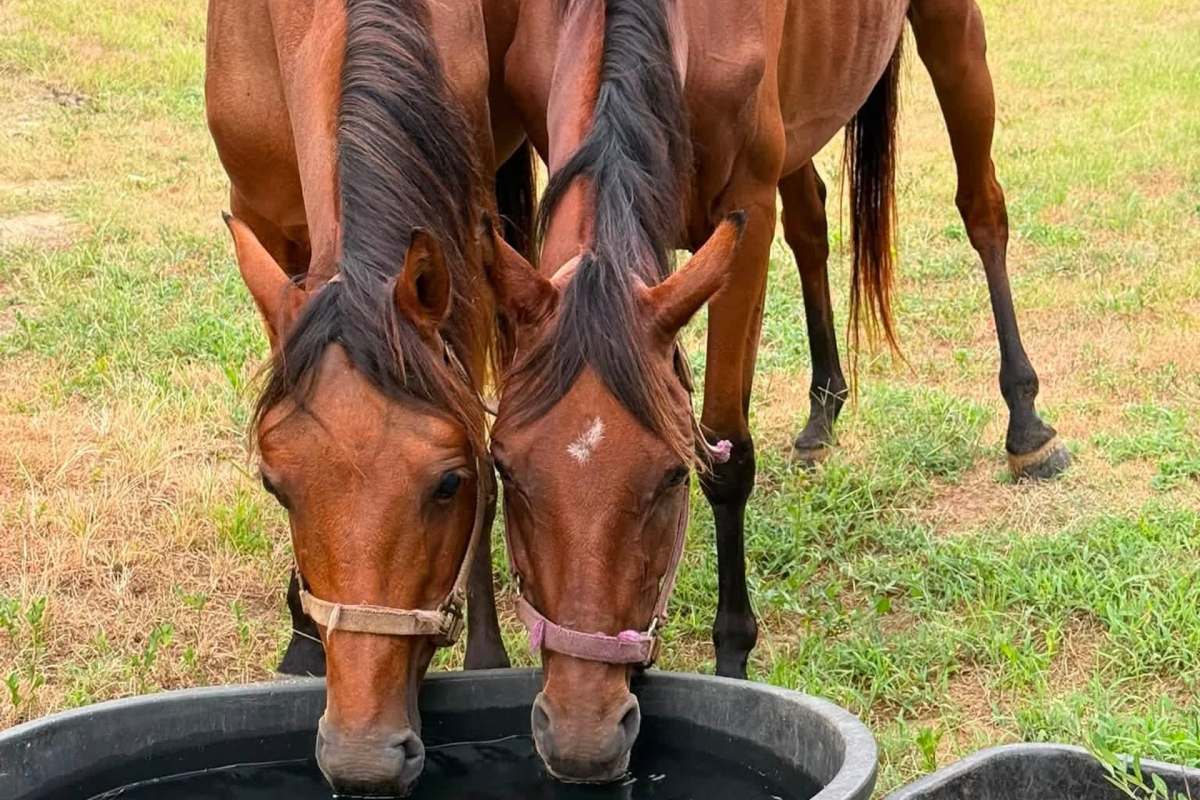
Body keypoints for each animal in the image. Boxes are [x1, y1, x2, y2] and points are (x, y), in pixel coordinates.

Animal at [206, 0, 531, 794]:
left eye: (450, 483)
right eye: (275, 485)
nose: (364, 758)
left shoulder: (464, 243)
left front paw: (487, 660)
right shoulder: (265, 228)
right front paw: (300, 639)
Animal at [483, 0, 1068, 782]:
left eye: (670, 479)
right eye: (507, 469)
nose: (582, 732)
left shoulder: (744, 215)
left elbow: (726, 456)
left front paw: (731, 656)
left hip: (951, 35)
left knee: (983, 209)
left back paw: (1027, 425)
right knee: (812, 221)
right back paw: (824, 409)